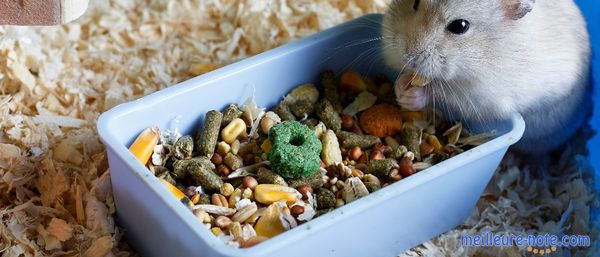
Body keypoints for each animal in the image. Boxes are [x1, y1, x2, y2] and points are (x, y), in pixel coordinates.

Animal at [382, 0, 592, 154]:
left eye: (460, 26)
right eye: (416, 2)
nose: (407, 56)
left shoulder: (481, 98)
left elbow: (440, 93)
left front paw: (411, 96)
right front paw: (401, 87)